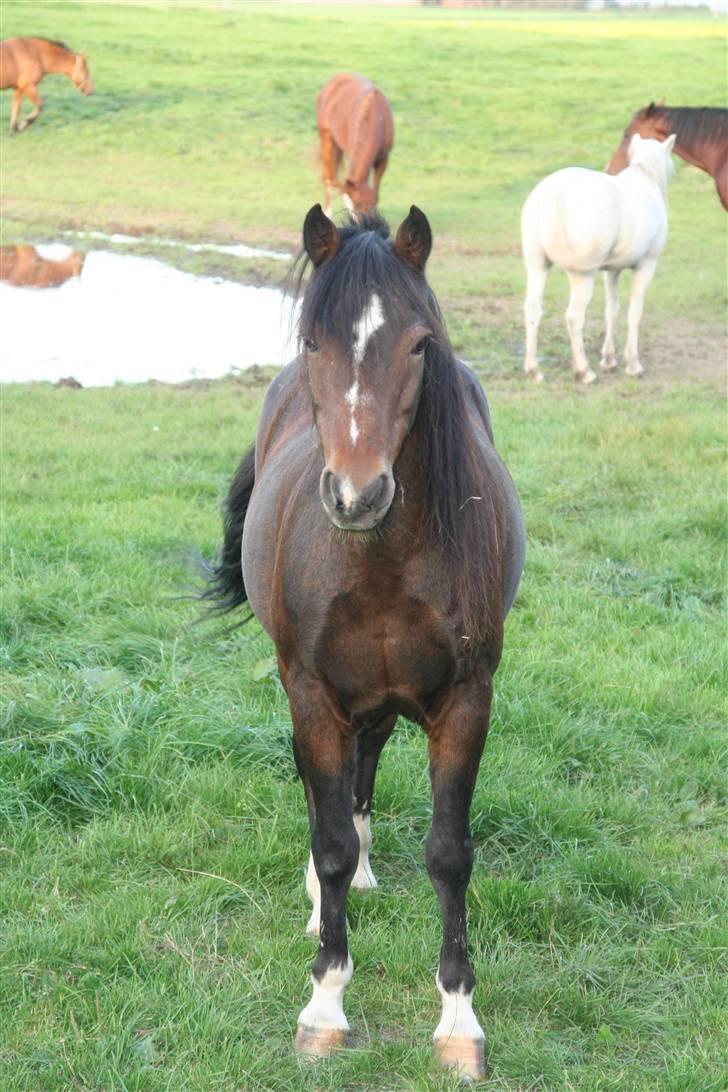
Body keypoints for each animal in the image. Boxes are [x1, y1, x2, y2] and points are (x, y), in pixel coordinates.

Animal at [207, 206, 526, 1083]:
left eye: (418, 345)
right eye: (314, 341)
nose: (357, 494)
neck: (380, 558)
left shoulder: (466, 700)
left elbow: (449, 853)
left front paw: (459, 1021)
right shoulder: (314, 696)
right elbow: (329, 842)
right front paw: (324, 1003)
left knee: (368, 763)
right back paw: (325, 902)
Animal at [316, 73, 395, 217]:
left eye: (361, 206)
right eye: (354, 208)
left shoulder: (383, 159)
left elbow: (376, 192)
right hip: (327, 139)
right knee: (327, 177)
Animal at [521, 133, 676, 384]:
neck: (644, 178)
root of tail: (554, 195)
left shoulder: (612, 270)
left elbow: (611, 310)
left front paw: (609, 359)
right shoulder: (646, 266)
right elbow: (634, 313)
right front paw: (633, 365)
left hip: (537, 266)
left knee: (532, 310)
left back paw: (534, 370)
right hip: (582, 275)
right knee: (574, 317)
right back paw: (584, 371)